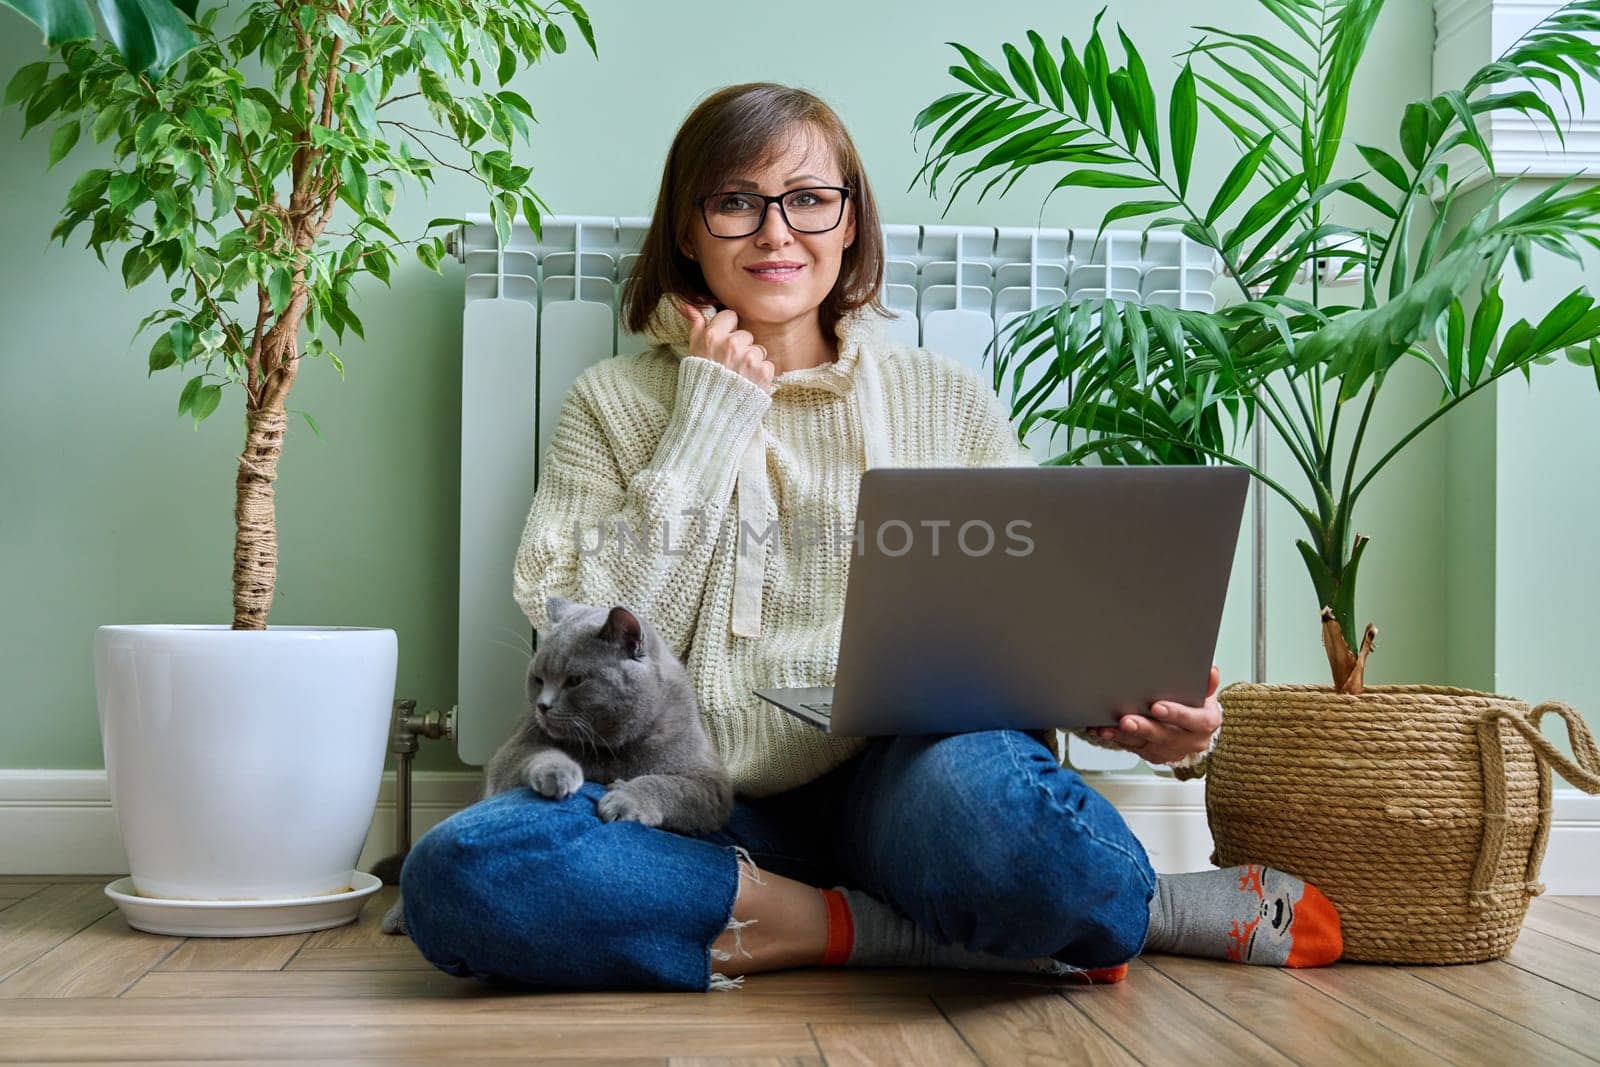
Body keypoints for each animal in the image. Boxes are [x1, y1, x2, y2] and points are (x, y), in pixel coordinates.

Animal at [384, 598, 732, 940]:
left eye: (575, 680)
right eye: (538, 679)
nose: (543, 705)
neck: (611, 750)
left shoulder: (709, 784)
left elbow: (666, 784)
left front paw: (625, 800)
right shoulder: (513, 752)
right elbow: (539, 755)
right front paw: (559, 773)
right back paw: (398, 919)